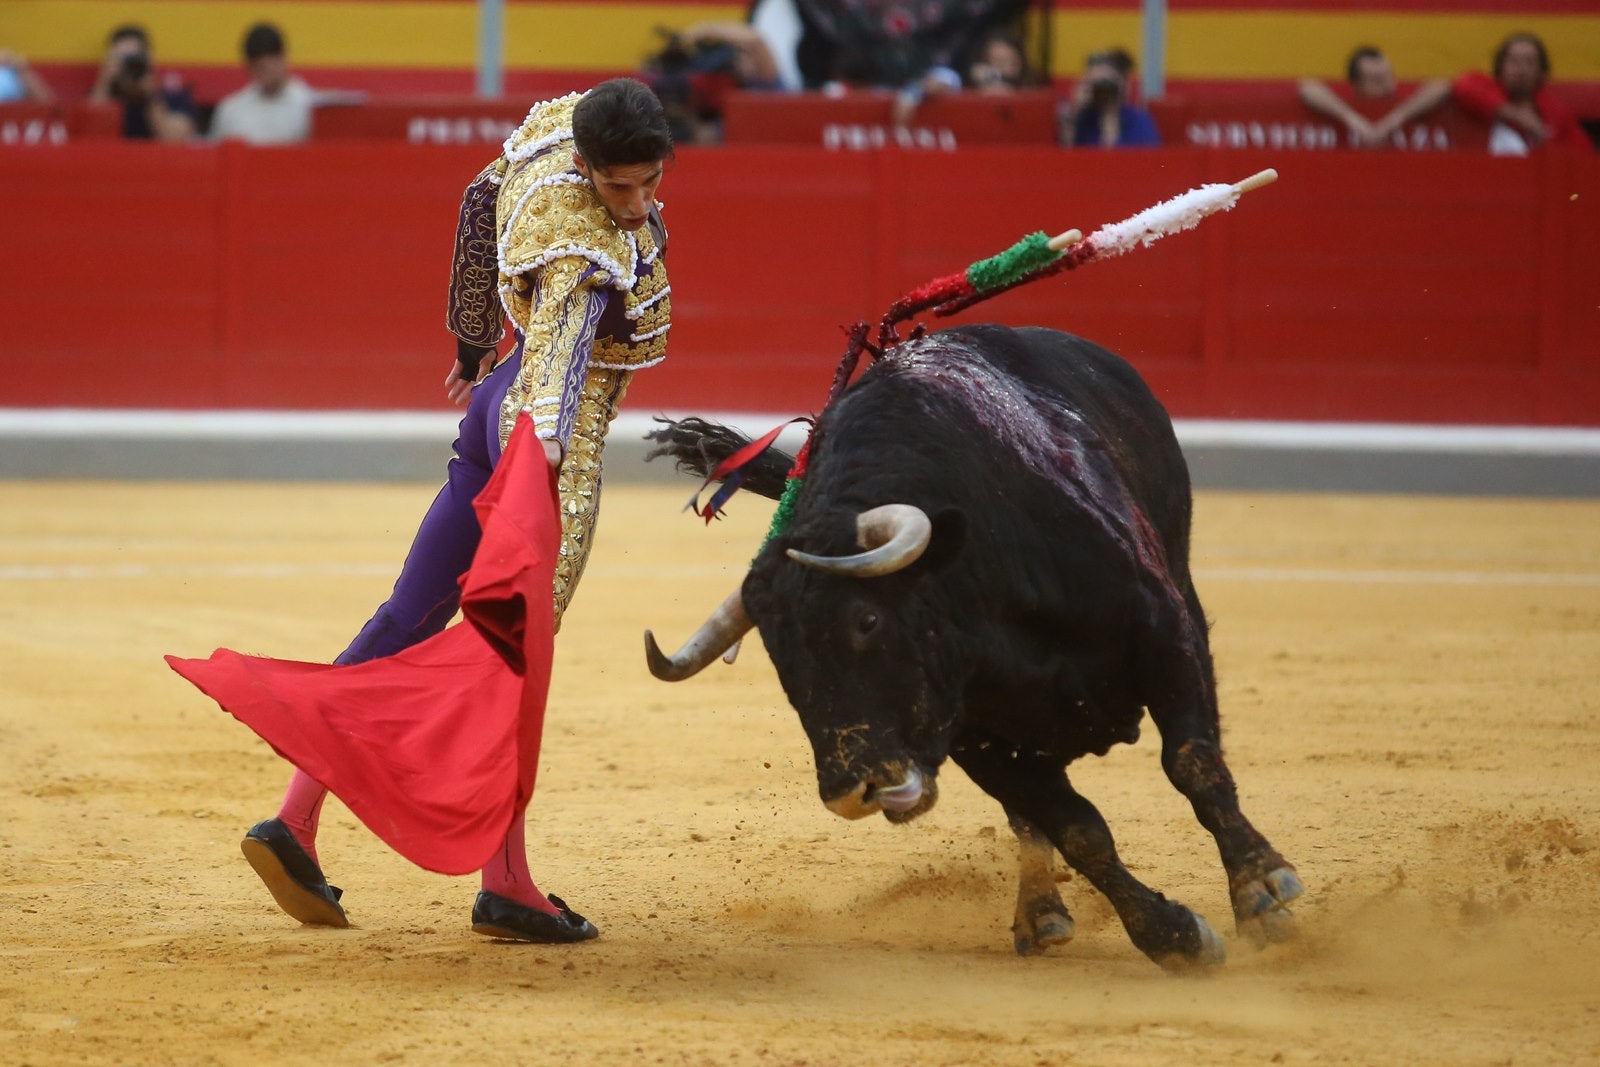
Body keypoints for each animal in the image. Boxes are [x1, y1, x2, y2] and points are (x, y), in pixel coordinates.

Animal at [640, 323, 1299, 966]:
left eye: (867, 620)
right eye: (780, 657)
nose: (851, 791)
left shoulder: (1164, 636)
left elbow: (1193, 764)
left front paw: (1262, 894)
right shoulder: (975, 737)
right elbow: (1079, 831)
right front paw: (1174, 937)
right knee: (1030, 821)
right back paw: (1040, 913)